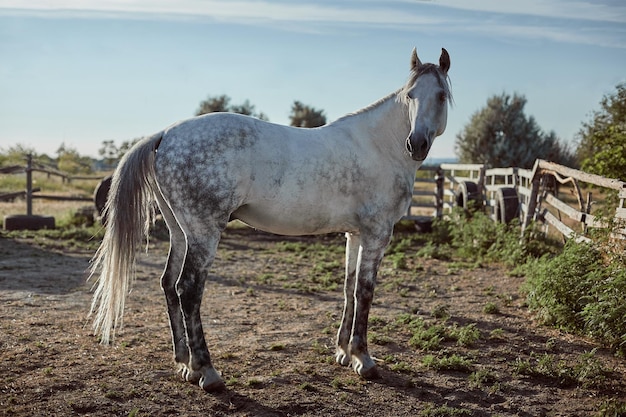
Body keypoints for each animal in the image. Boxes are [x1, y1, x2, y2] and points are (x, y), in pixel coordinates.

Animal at [90, 47, 450, 392]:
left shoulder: (356, 234)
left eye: (441, 95)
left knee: (168, 284)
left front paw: (344, 353)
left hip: (181, 232)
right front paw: (364, 359)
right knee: (187, 290)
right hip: (203, 233)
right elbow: (365, 291)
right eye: (410, 95)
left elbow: (349, 288)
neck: (379, 146)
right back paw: (207, 372)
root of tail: (164, 134)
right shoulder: (377, 233)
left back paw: (185, 364)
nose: (416, 144)